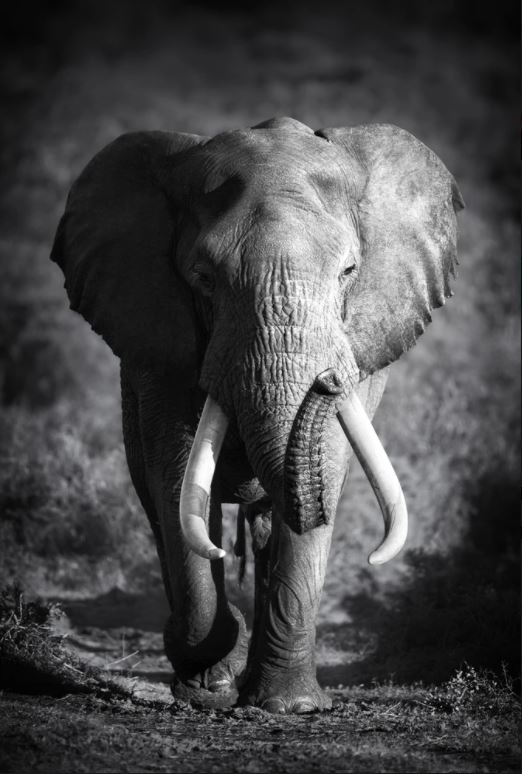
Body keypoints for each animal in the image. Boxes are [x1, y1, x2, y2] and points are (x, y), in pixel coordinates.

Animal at [50, 116, 464, 713]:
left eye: (349, 271)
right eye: (203, 277)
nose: (328, 380)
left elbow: (326, 469)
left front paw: (290, 706)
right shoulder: (159, 346)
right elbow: (175, 478)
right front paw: (208, 684)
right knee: (158, 506)